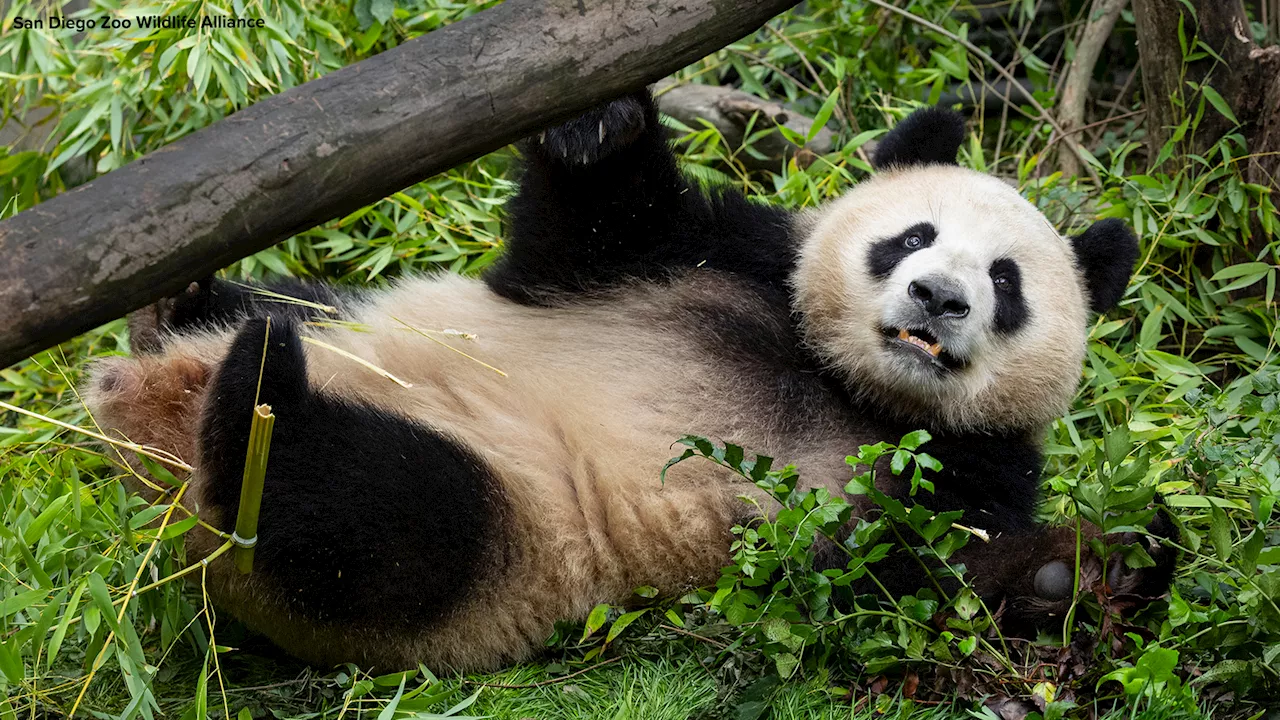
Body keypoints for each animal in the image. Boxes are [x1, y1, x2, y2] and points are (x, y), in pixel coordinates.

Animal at [85, 92, 1172, 671]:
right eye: (912, 237)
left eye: (1006, 282)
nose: (939, 296)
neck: (843, 382)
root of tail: (152, 430)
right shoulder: (714, 259)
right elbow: (587, 230)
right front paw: (599, 122)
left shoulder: (962, 467)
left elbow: (888, 583)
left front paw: (1080, 571)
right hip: (344, 321)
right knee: (283, 317)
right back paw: (185, 310)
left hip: (504, 545)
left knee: (373, 518)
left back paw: (255, 411)